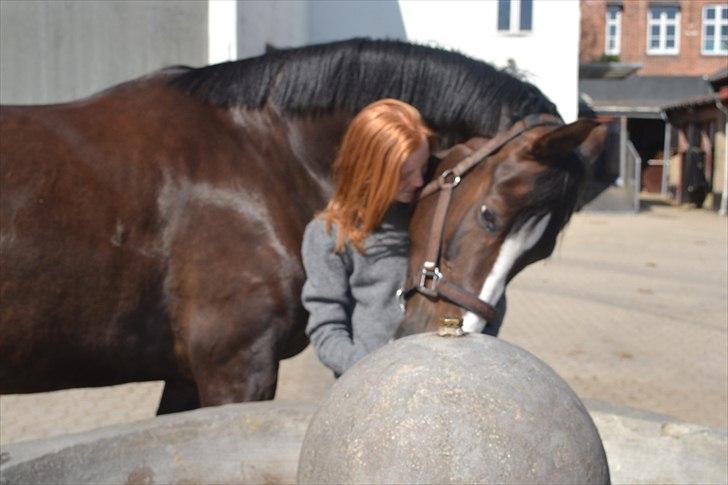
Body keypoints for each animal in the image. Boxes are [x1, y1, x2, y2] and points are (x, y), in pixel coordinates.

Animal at [0, 38, 604, 412]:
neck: (263, 155)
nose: (434, 335)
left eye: (538, 254)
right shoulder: (235, 369)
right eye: (488, 215)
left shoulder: (188, 374)